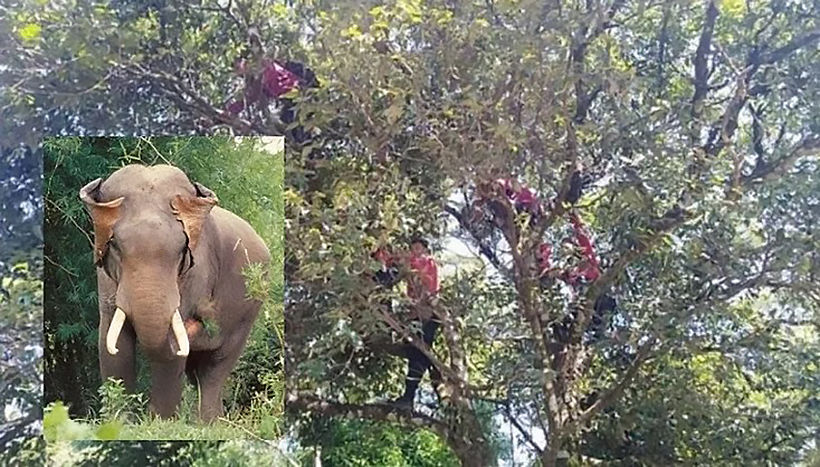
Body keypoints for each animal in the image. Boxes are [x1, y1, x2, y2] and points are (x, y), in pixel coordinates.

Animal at [78, 166, 270, 422]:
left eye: (182, 250)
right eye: (116, 246)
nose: (201, 319)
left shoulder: (196, 274)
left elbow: (174, 347)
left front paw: (160, 421)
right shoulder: (105, 279)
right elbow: (112, 343)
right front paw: (120, 421)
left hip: (248, 309)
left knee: (215, 368)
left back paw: (208, 423)